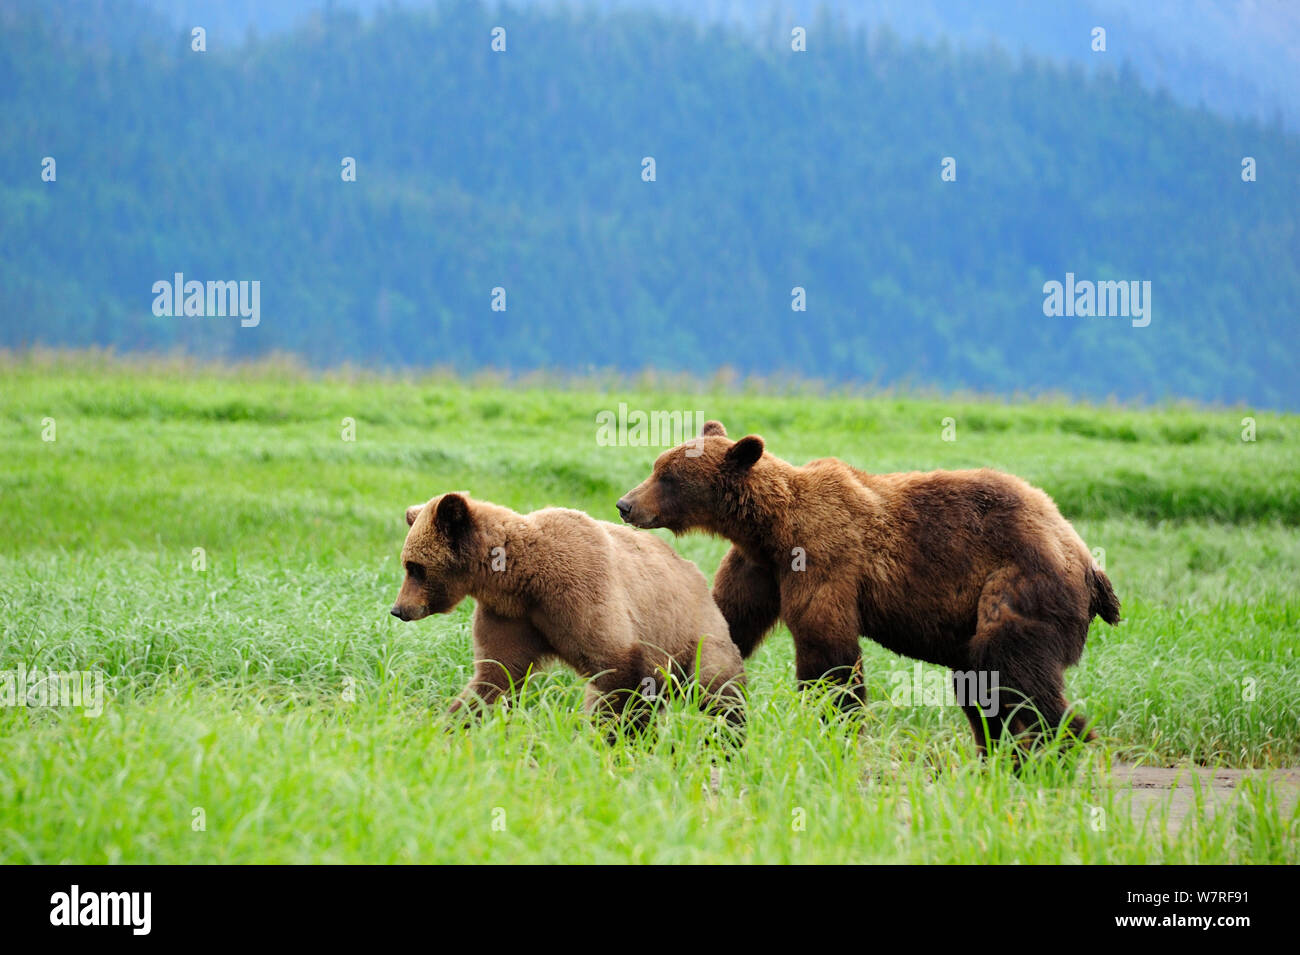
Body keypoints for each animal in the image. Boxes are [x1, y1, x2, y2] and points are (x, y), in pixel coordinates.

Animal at [390, 496, 748, 738]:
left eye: (415, 567)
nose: (398, 609)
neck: (522, 578)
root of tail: (696, 573)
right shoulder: (511, 617)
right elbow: (496, 675)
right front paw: (451, 724)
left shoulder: (580, 588)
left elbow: (617, 670)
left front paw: (614, 738)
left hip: (696, 635)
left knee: (720, 693)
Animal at [616, 420, 1118, 753]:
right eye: (657, 466)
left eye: (668, 477)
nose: (625, 504)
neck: (770, 529)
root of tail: (1086, 558)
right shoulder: (757, 567)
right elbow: (723, 621)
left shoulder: (822, 556)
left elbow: (827, 650)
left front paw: (834, 727)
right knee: (983, 688)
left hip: (1020, 580)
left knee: (1011, 671)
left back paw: (1060, 748)